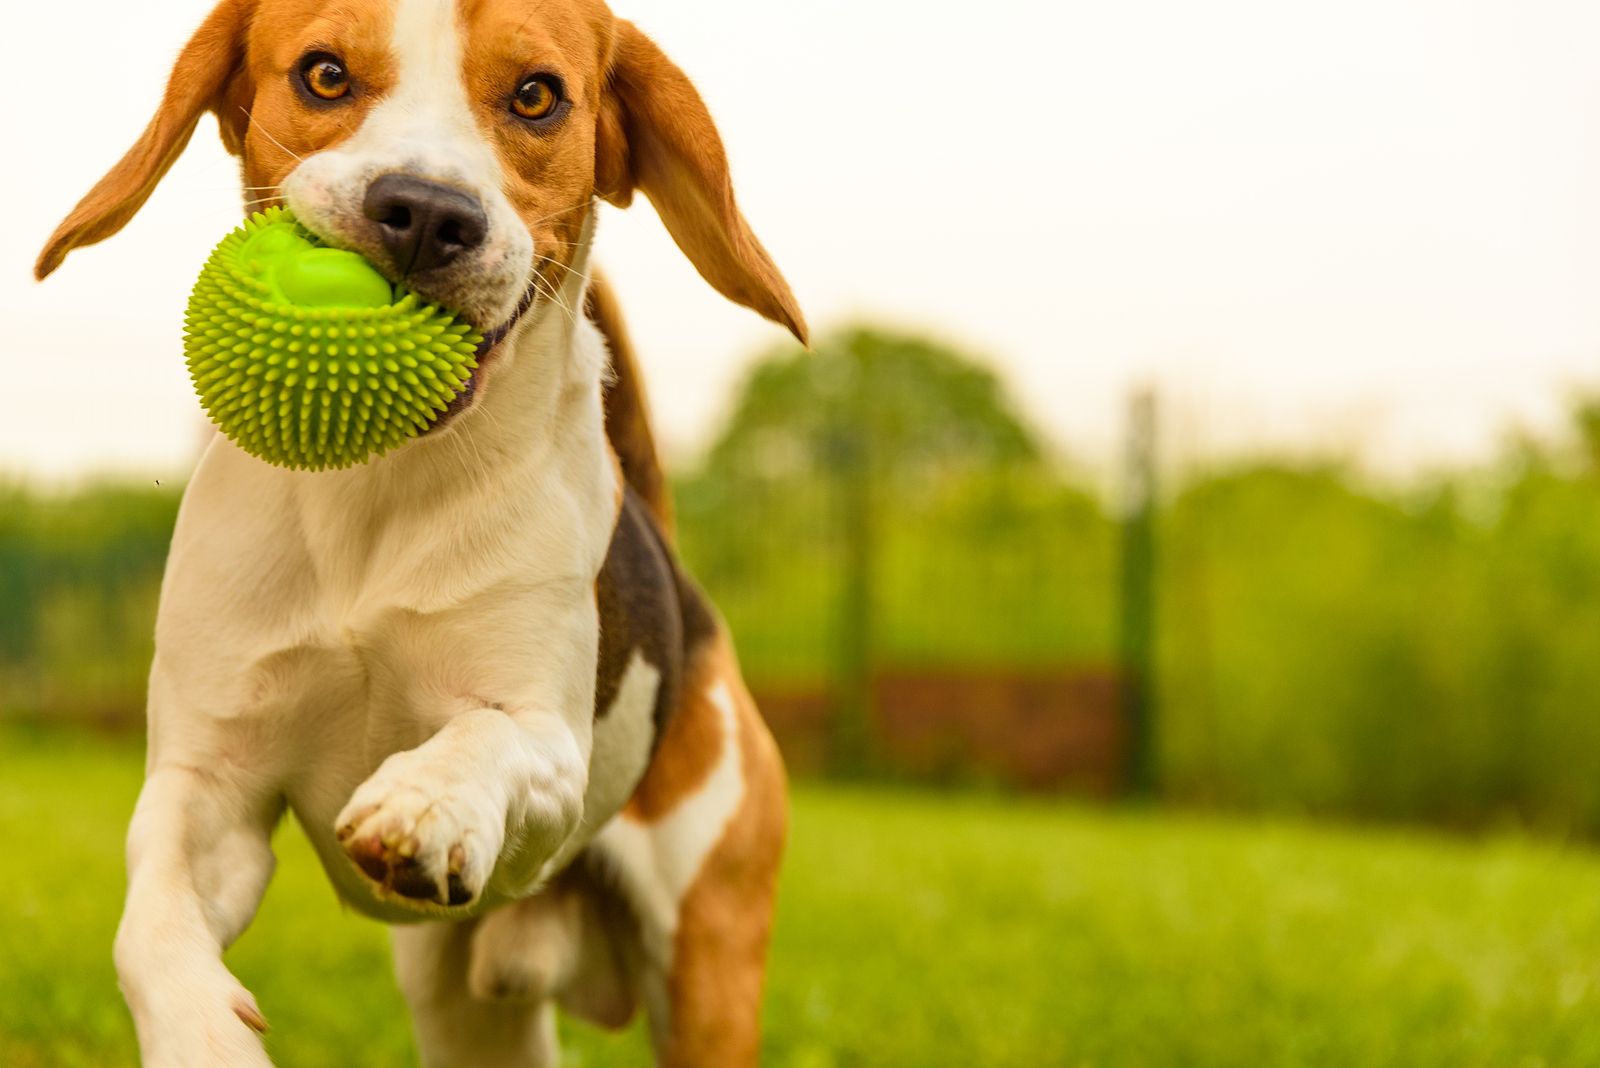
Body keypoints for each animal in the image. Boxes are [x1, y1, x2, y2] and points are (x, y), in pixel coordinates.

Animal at [37, 2, 806, 1068]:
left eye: (538, 96)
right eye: (324, 75)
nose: (430, 212)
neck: (377, 491)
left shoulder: (550, 756)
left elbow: (490, 735)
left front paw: (427, 803)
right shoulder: (209, 785)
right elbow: (149, 924)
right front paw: (201, 1035)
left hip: (709, 961)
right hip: (465, 1010)